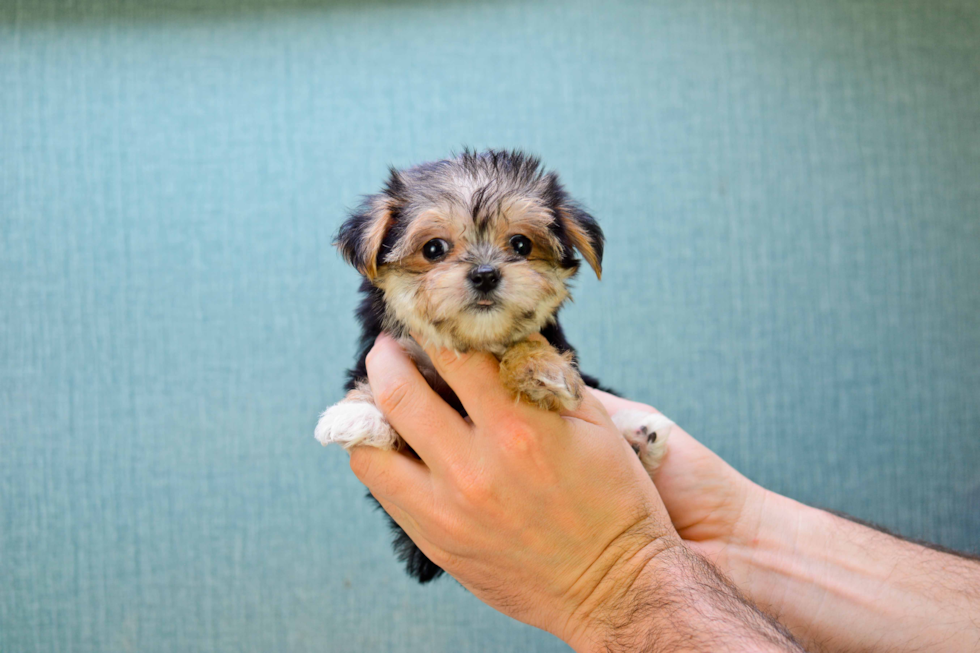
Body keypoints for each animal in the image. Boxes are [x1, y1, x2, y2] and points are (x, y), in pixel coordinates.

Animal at [318, 152, 668, 580]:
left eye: (520, 244)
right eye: (433, 249)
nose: (485, 273)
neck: (475, 341)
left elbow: (534, 347)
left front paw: (539, 367)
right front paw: (359, 412)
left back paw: (639, 436)